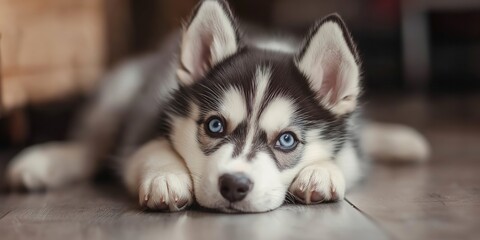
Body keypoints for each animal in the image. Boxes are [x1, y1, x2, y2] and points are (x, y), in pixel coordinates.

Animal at [5, 0, 430, 212]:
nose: (234, 185)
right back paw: (43, 163)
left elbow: (346, 158)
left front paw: (320, 173)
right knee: (93, 147)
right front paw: (166, 177)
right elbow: (150, 150)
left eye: (287, 140)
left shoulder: (349, 143)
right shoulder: (145, 124)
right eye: (214, 127)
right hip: (118, 92)